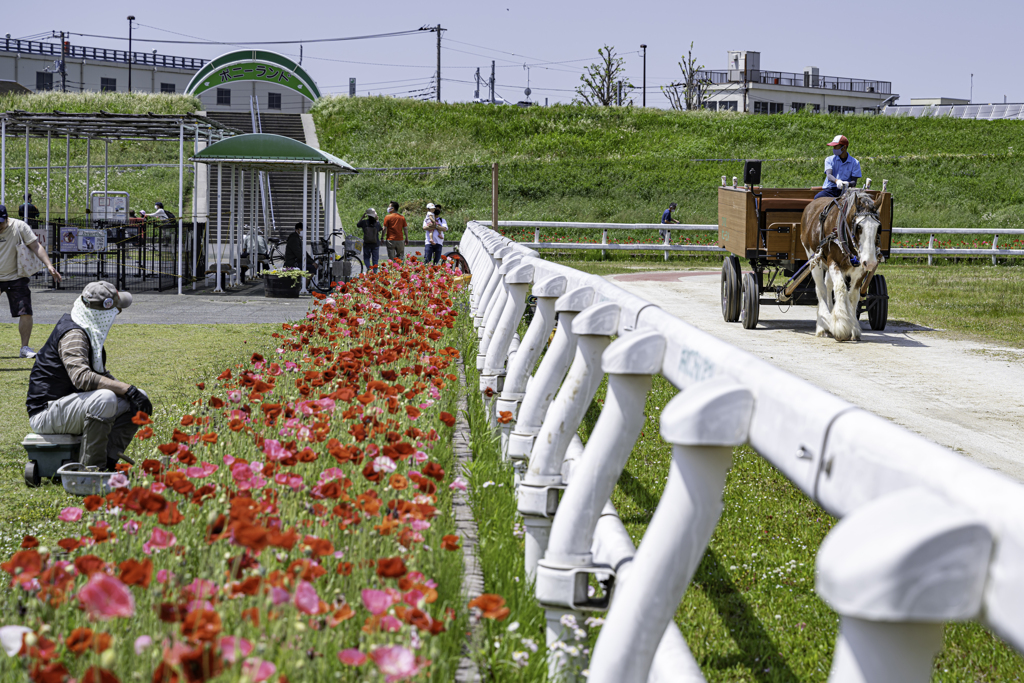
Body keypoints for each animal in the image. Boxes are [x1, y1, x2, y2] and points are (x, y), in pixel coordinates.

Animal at [794, 187, 884, 342]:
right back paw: (824, 325)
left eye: (879, 227)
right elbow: (841, 288)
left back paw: (830, 316)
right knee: (821, 289)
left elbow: (853, 295)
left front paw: (853, 327)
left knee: (829, 285)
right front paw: (841, 325)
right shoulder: (833, 262)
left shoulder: (860, 269)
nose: (871, 263)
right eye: (858, 226)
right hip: (814, 258)